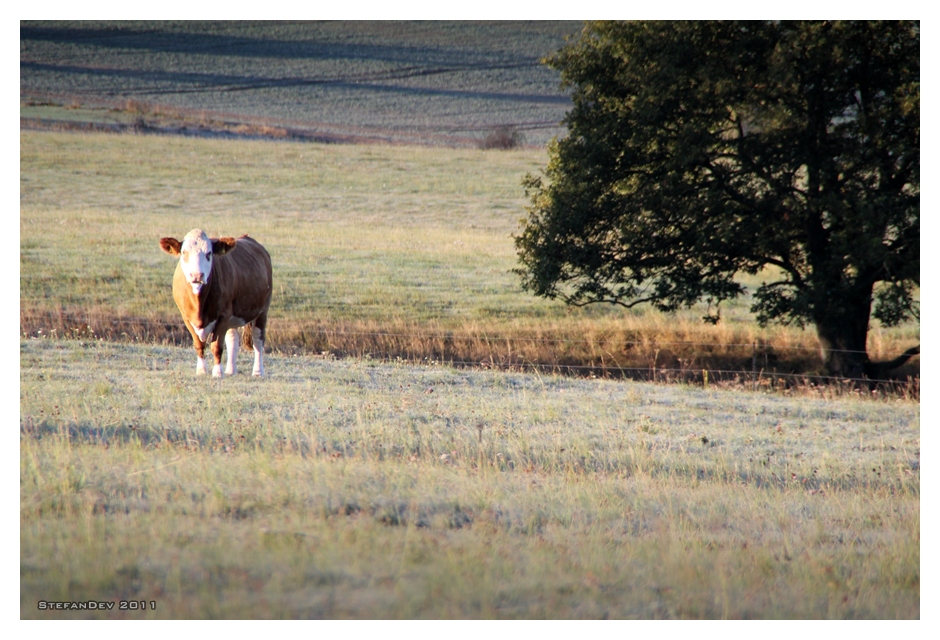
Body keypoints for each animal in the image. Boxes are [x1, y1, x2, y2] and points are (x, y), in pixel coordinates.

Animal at [160, 230, 272, 378]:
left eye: (209, 253)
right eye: (184, 252)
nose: (197, 275)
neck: (199, 305)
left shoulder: (223, 316)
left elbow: (217, 346)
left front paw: (218, 372)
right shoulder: (186, 317)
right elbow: (199, 344)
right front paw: (201, 370)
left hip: (262, 310)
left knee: (258, 340)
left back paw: (258, 371)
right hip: (233, 316)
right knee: (232, 339)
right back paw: (231, 370)